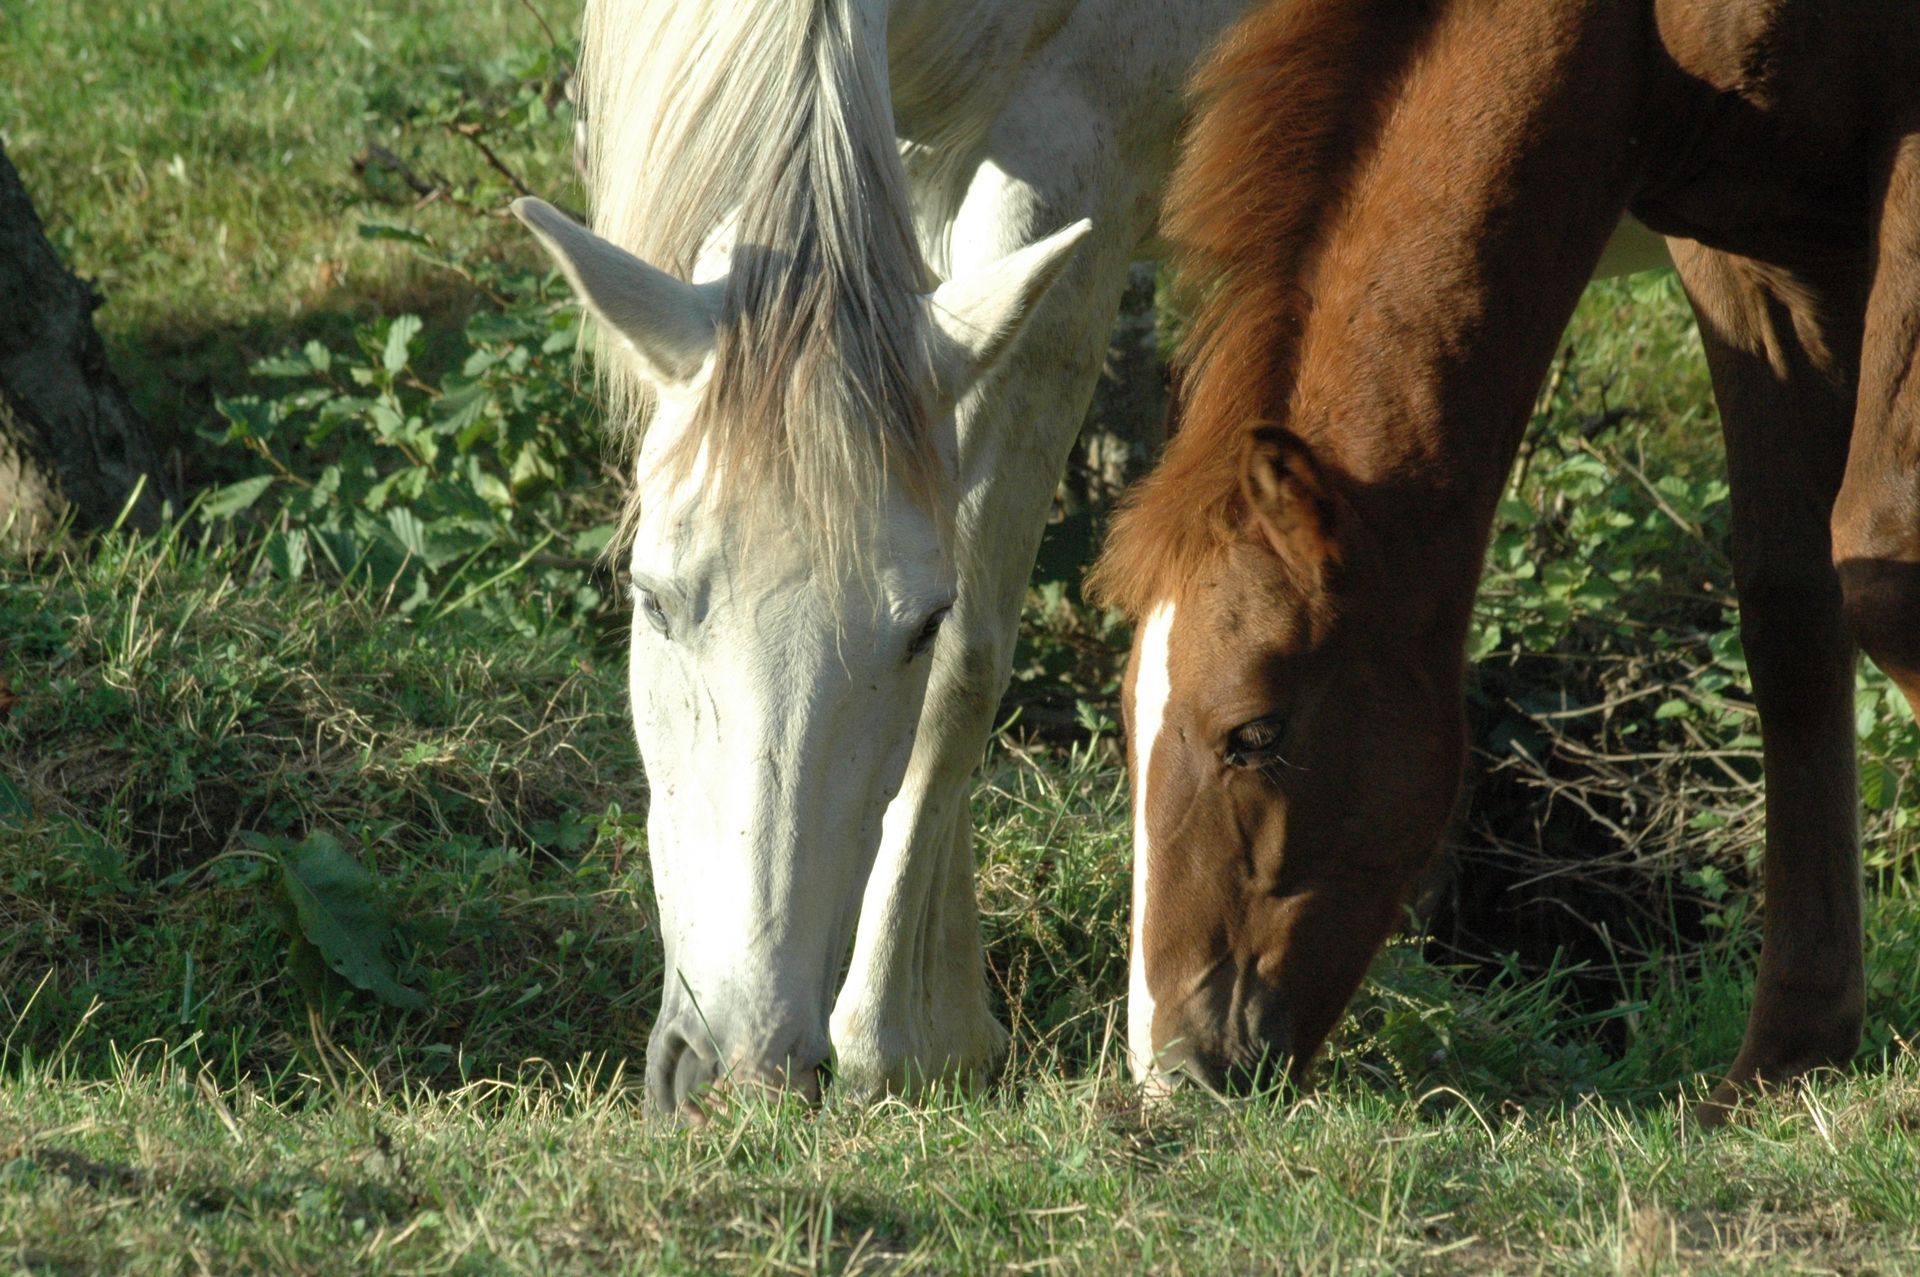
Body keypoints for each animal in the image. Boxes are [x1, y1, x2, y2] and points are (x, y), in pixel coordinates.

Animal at [1090, 0, 1920, 1113]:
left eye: (1256, 734)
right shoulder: (1755, 254)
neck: (1641, 33)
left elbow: (1882, 552)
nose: (1171, 1069)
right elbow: (1793, 609)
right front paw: (1792, 1051)